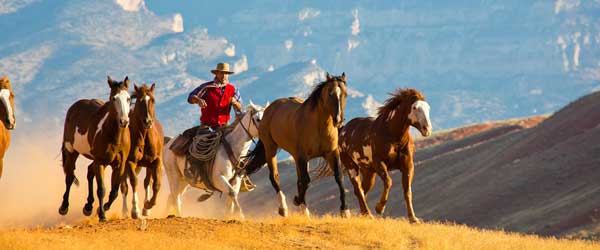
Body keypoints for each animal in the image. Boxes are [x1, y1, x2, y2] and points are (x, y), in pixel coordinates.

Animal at [59, 75, 132, 221]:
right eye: (113, 98)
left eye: (128, 98)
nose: (124, 121)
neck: (114, 137)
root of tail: (74, 106)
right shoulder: (100, 162)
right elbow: (102, 189)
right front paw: (102, 215)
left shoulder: (119, 164)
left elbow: (114, 191)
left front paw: (101, 209)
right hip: (71, 151)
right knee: (69, 176)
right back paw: (64, 207)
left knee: (88, 172)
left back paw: (88, 206)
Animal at [119, 83, 164, 218]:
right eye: (140, 101)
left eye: (153, 100)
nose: (148, 121)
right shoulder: (130, 162)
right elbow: (134, 182)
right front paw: (135, 211)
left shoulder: (156, 161)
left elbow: (155, 183)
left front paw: (148, 205)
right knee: (124, 186)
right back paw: (125, 211)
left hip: (145, 166)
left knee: (147, 182)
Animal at [246, 72, 352, 217]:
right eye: (330, 93)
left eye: (345, 94)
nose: (339, 120)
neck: (319, 127)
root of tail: (269, 109)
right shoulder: (302, 156)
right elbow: (306, 181)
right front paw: (296, 200)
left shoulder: (331, 153)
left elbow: (338, 177)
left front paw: (345, 210)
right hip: (270, 148)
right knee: (274, 177)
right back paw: (283, 208)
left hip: (295, 156)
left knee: (298, 181)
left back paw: (304, 212)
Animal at [318, 88, 432, 223]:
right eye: (414, 107)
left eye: (428, 108)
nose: (427, 129)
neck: (393, 137)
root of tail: (342, 130)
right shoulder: (380, 164)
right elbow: (388, 182)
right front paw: (379, 208)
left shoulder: (408, 166)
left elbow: (407, 190)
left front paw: (413, 219)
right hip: (351, 167)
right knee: (358, 189)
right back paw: (368, 213)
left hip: (368, 172)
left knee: (362, 190)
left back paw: (364, 213)